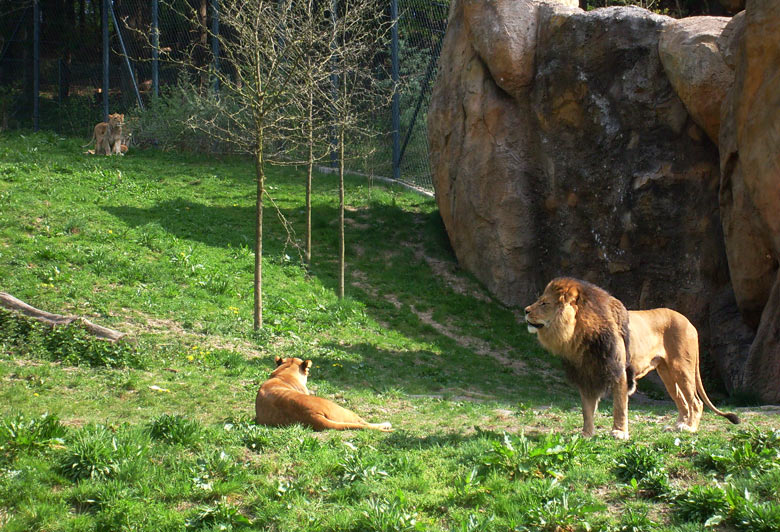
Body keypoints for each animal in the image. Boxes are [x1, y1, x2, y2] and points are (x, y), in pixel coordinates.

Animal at [524, 276, 736, 438]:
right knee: (682, 402)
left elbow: (619, 406)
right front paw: (586, 434)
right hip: (666, 373)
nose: (525, 311)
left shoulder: (619, 372)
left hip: (682, 369)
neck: (579, 334)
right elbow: (587, 409)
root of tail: (689, 322)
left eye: (544, 303)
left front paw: (619, 432)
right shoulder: (586, 375)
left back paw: (689, 428)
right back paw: (677, 426)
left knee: (696, 402)